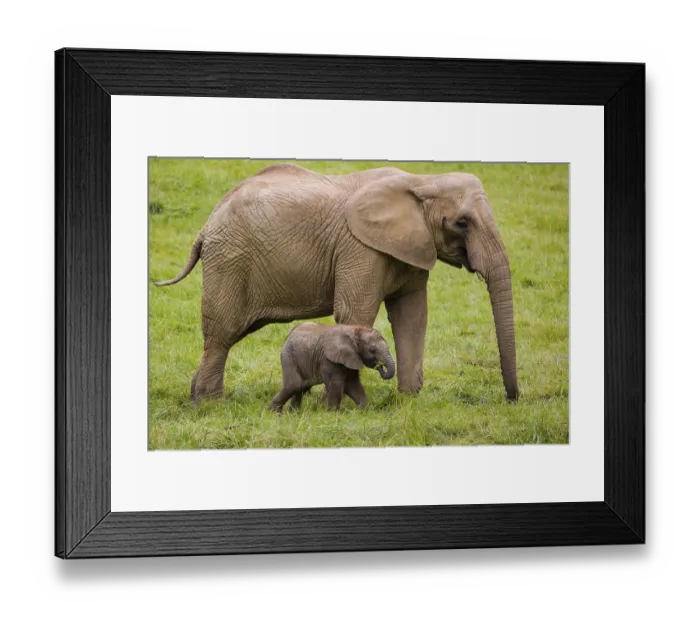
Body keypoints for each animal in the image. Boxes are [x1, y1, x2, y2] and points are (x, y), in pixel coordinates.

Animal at [154, 163, 518, 403]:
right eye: (461, 223)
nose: (512, 399)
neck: (422, 181)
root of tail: (206, 226)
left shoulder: (413, 247)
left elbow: (412, 314)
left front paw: (408, 401)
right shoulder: (360, 248)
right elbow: (356, 312)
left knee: (228, 335)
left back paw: (196, 397)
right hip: (229, 260)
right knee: (221, 334)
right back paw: (209, 404)